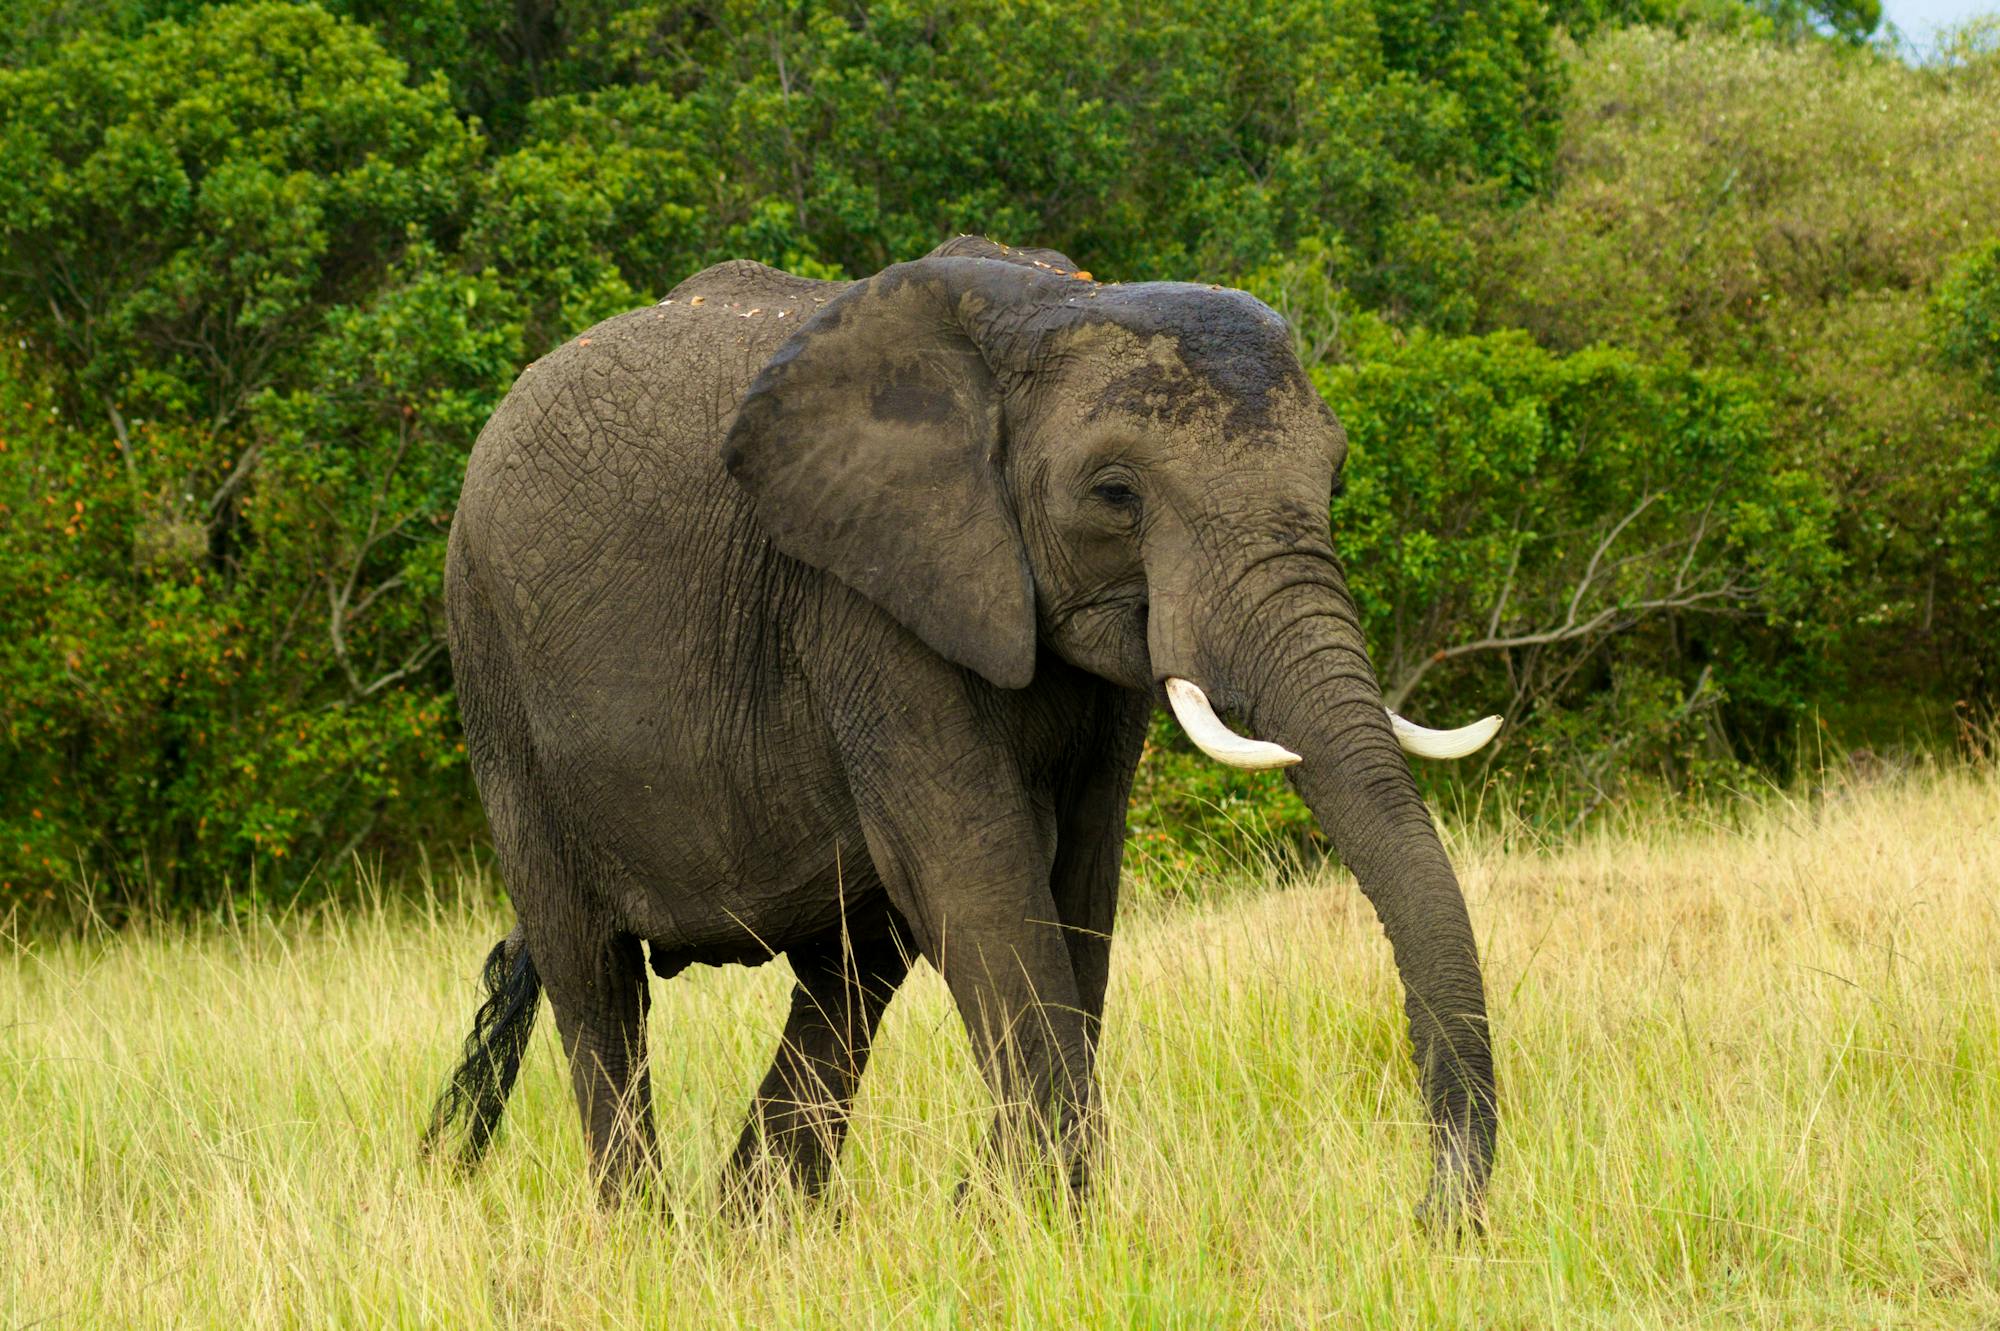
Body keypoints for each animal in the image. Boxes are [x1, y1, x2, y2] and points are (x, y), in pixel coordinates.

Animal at [424, 235, 1501, 1227]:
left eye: (1334, 477)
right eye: (1116, 493)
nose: (1425, 1213)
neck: (1043, 311)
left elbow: (1078, 889)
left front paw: (992, 1215)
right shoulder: (866, 596)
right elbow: (978, 874)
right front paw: (1043, 1226)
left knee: (847, 974)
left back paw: (754, 1233)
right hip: (492, 663)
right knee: (596, 977)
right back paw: (654, 1238)